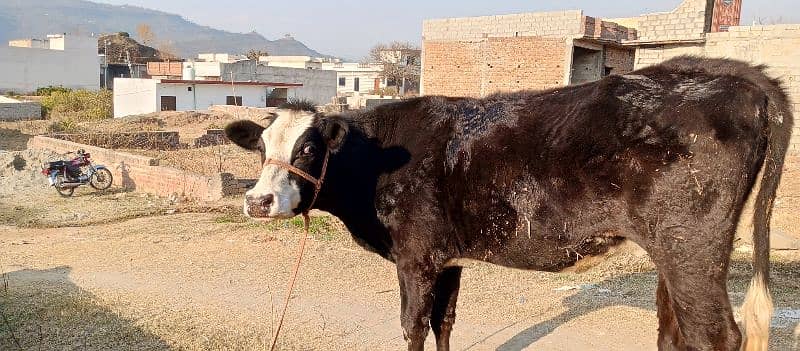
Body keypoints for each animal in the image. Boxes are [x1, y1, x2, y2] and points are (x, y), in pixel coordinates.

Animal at [225, 56, 792, 350]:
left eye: (309, 147)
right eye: (262, 148)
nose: (258, 200)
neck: (377, 159)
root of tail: (731, 71)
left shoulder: (415, 258)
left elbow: (412, 325)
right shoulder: (447, 258)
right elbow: (444, 322)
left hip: (691, 248)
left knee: (715, 336)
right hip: (674, 253)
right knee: (675, 330)